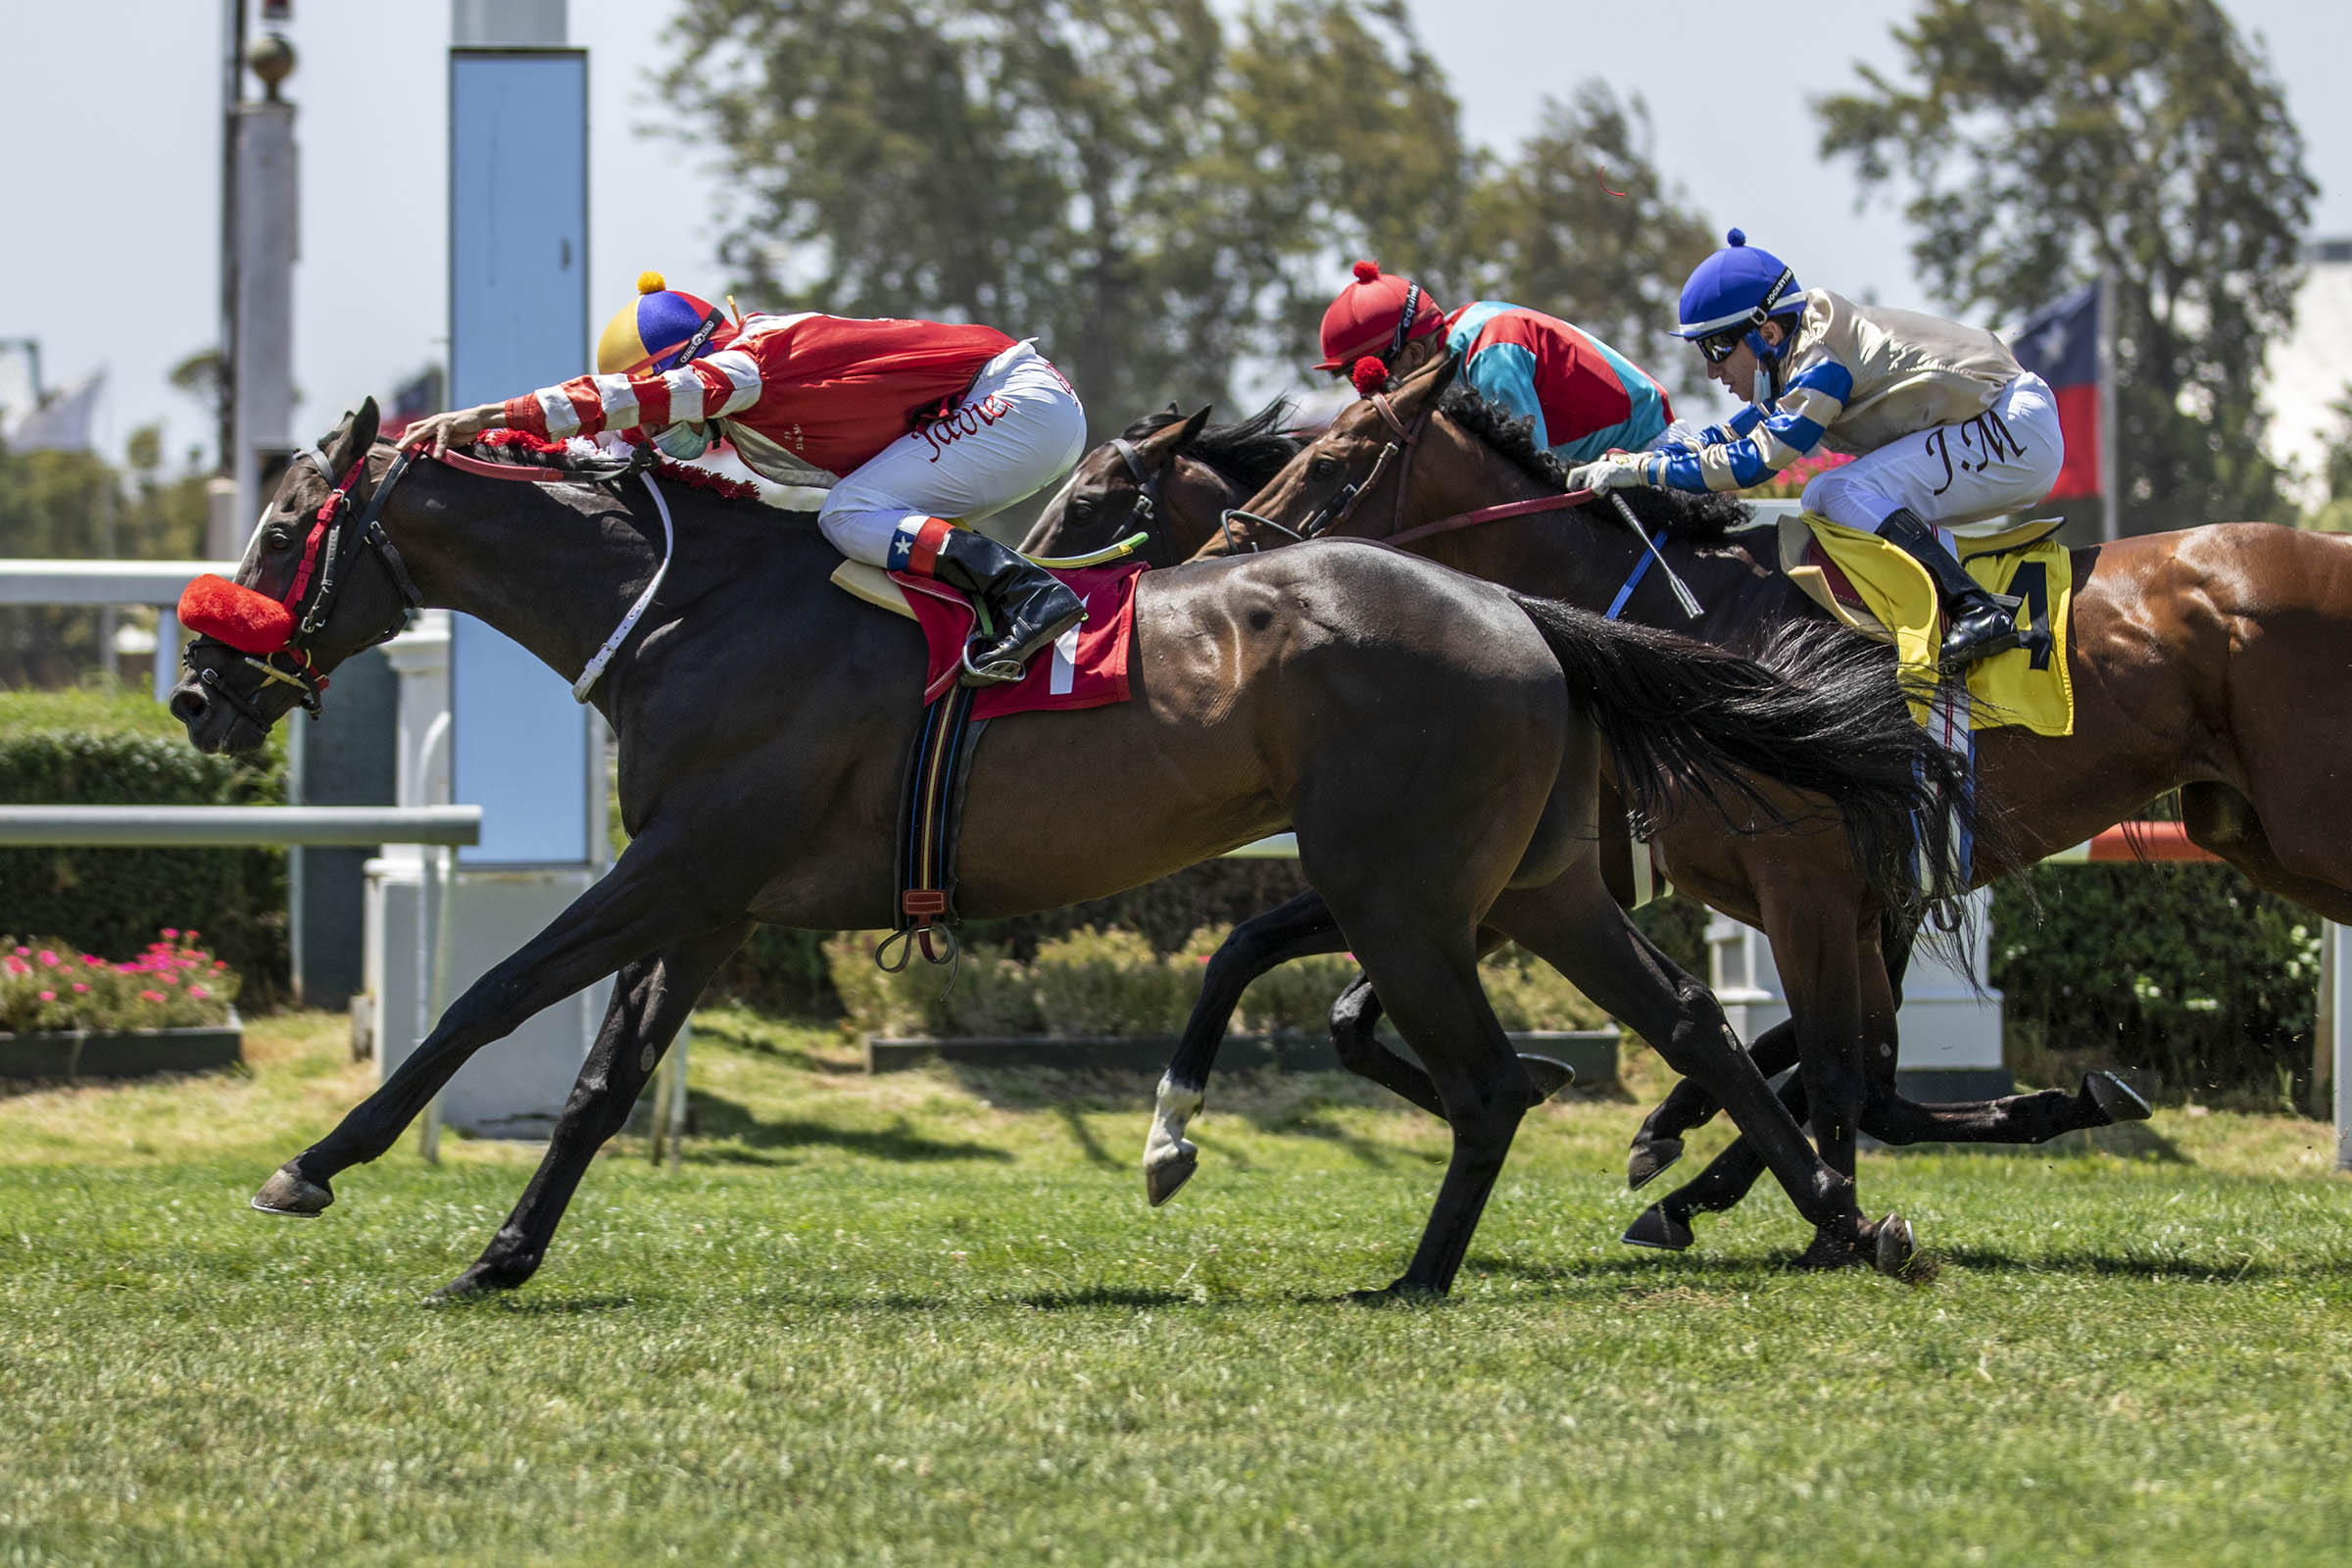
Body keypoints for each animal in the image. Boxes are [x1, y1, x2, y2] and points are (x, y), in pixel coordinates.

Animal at [168, 396, 1957, 1298]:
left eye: (282, 527)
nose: (195, 690)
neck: (691, 604)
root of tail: (1525, 613)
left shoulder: (679, 867)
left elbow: (486, 1006)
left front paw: (314, 1166)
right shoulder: (712, 892)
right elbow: (605, 1080)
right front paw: (506, 1250)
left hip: (1403, 892)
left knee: (1497, 1083)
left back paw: (1419, 1278)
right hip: (1542, 886)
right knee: (1697, 1025)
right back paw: (1836, 1219)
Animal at [1179, 349, 2352, 1250]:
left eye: (1333, 463)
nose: (1222, 564)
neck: (1693, 623)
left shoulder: (1809, 884)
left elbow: (1840, 1074)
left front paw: (1795, 1215)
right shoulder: (1791, 890)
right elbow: (1853, 1075)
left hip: (2301, 824)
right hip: (2245, 829)